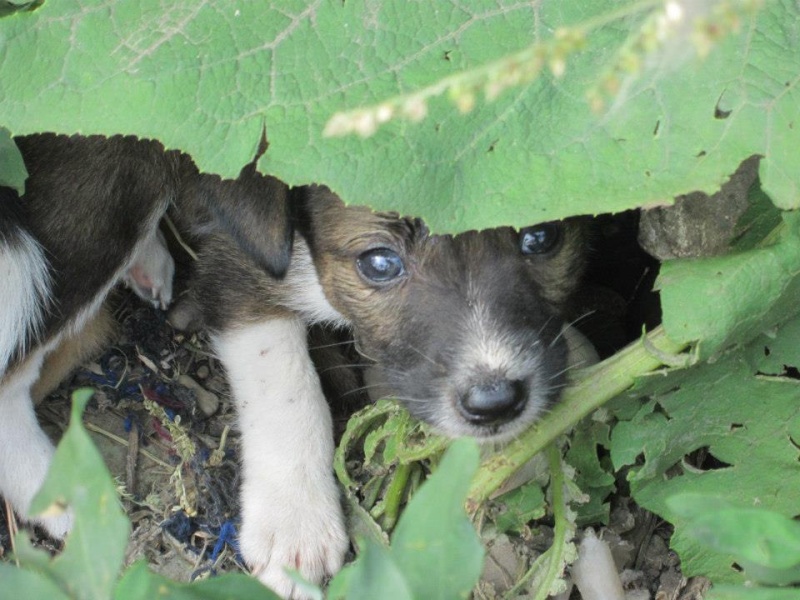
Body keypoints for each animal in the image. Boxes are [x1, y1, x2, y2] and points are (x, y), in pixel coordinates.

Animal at [0, 134, 588, 596]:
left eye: (542, 236)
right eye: (379, 263)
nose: (496, 404)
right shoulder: (238, 270)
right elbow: (288, 393)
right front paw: (295, 527)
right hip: (102, 195)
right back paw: (59, 492)